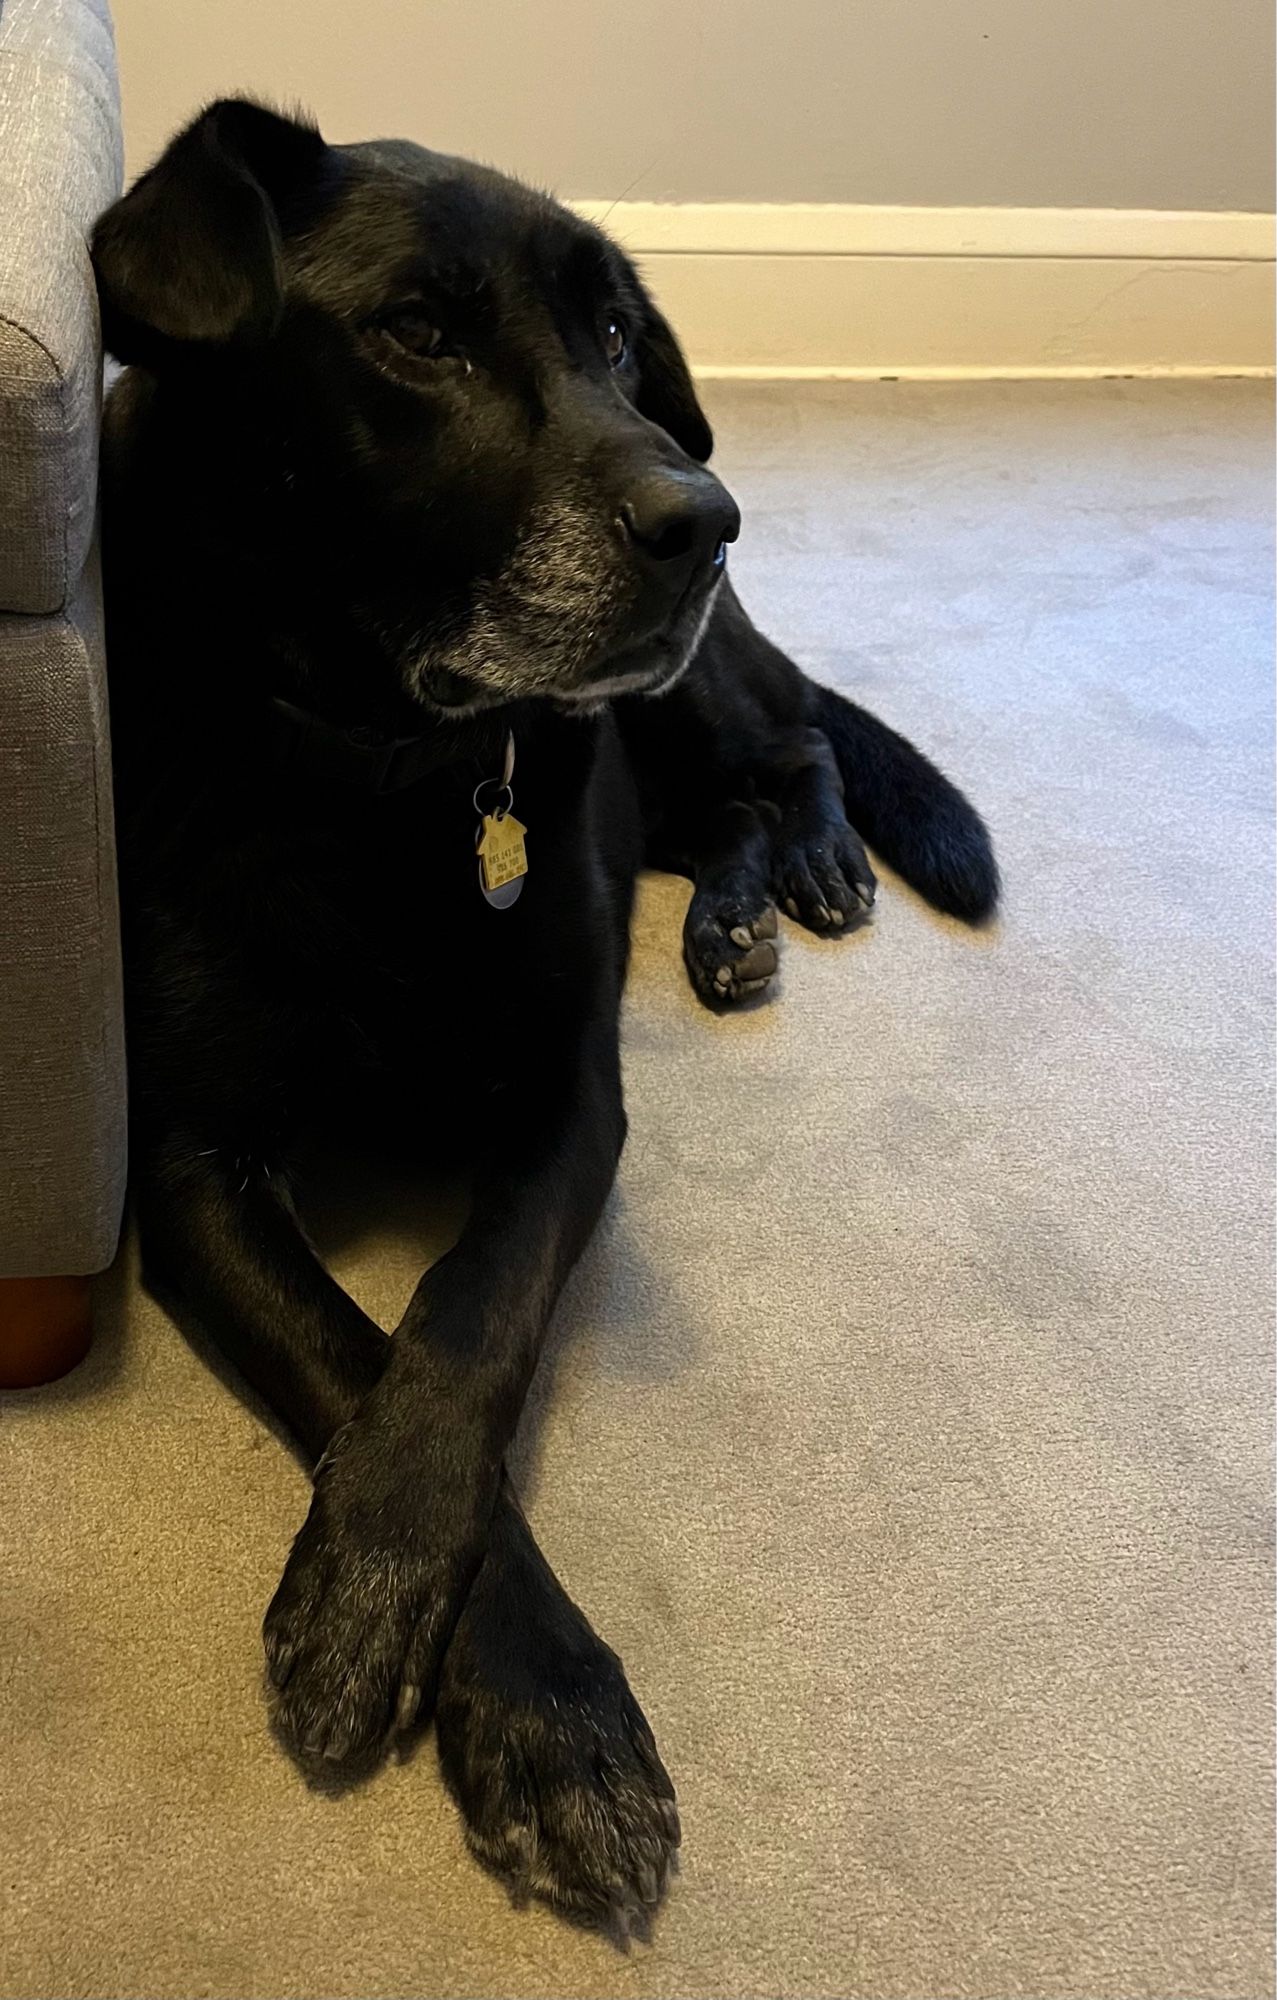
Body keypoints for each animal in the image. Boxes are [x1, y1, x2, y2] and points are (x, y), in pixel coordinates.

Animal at [95, 97, 1004, 1920]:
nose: (703, 515)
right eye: (419, 332)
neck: (383, 774)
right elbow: (351, 1343)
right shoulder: (194, 1161)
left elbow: (467, 1319)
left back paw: (798, 882)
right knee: (723, 810)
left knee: (794, 751)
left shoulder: (568, 1104)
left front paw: (509, 1679)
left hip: (698, 691)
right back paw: (735, 911)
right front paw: (497, 1672)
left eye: (613, 336)